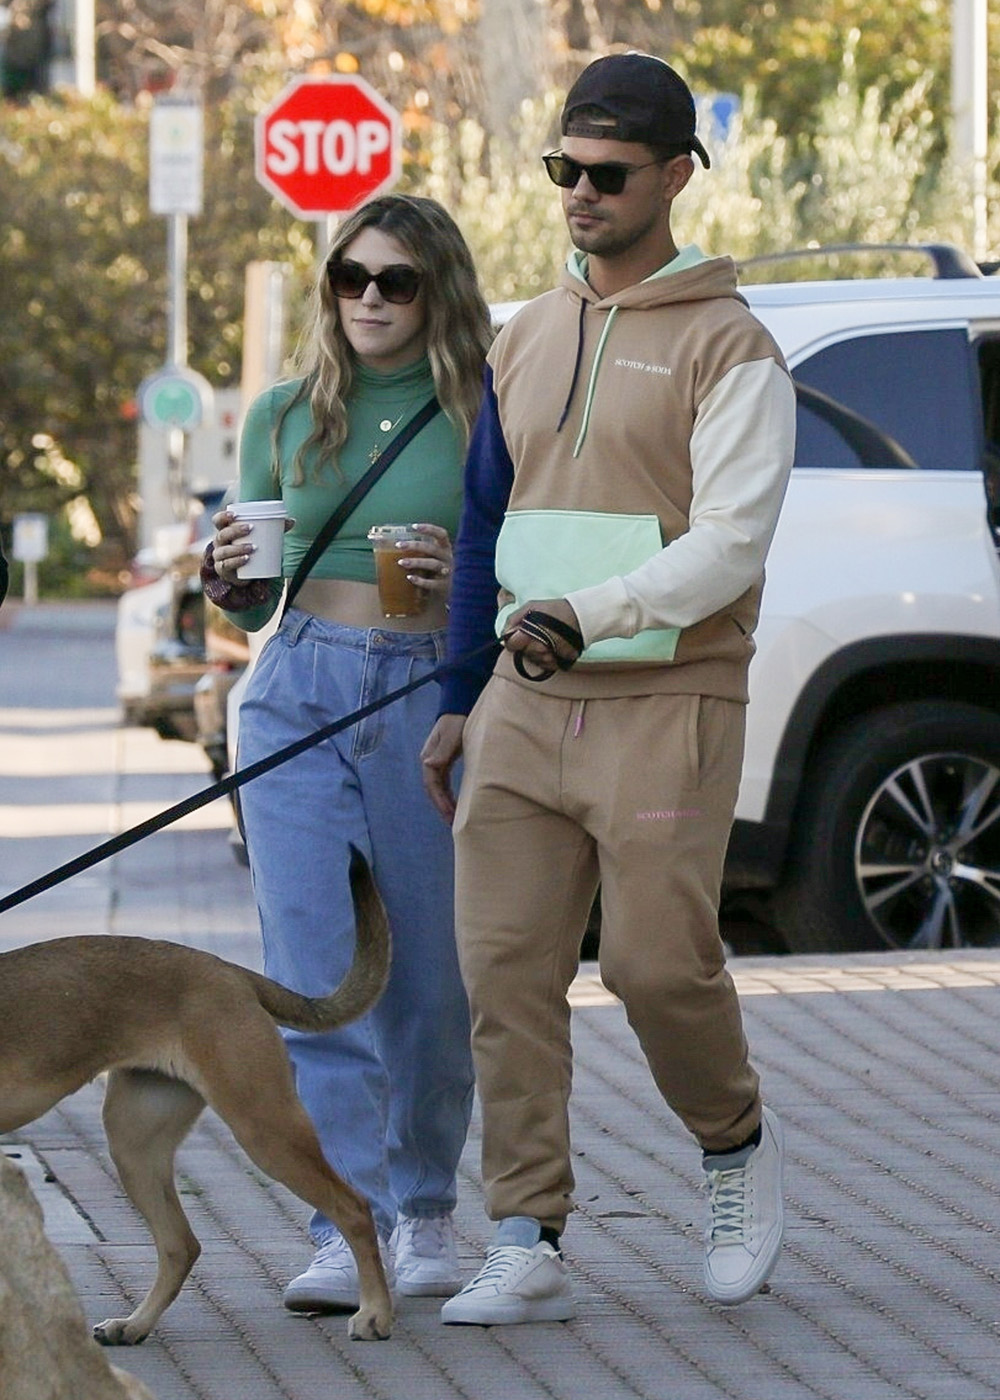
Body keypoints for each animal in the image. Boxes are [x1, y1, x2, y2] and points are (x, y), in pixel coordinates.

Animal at [0, 840, 392, 1344]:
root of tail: (230, 971)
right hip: (136, 1144)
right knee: (180, 1245)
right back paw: (133, 1325)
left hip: (264, 1128)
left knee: (355, 1208)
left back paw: (375, 1313)